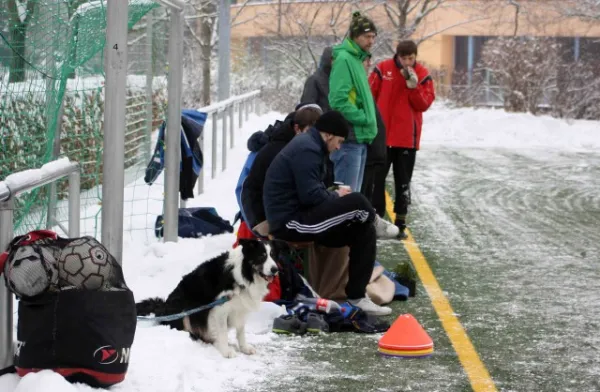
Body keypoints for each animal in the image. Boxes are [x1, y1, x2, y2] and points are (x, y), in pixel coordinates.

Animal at [136, 239, 278, 358]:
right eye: (262, 256)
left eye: (273, 255)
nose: (275, 269)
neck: (242, 274)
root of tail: (163, 307)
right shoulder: (220, 308)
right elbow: (223, 332)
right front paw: (226, 351)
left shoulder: (241, 307)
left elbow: (241, 331)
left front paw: (244, 348)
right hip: (182, 308)